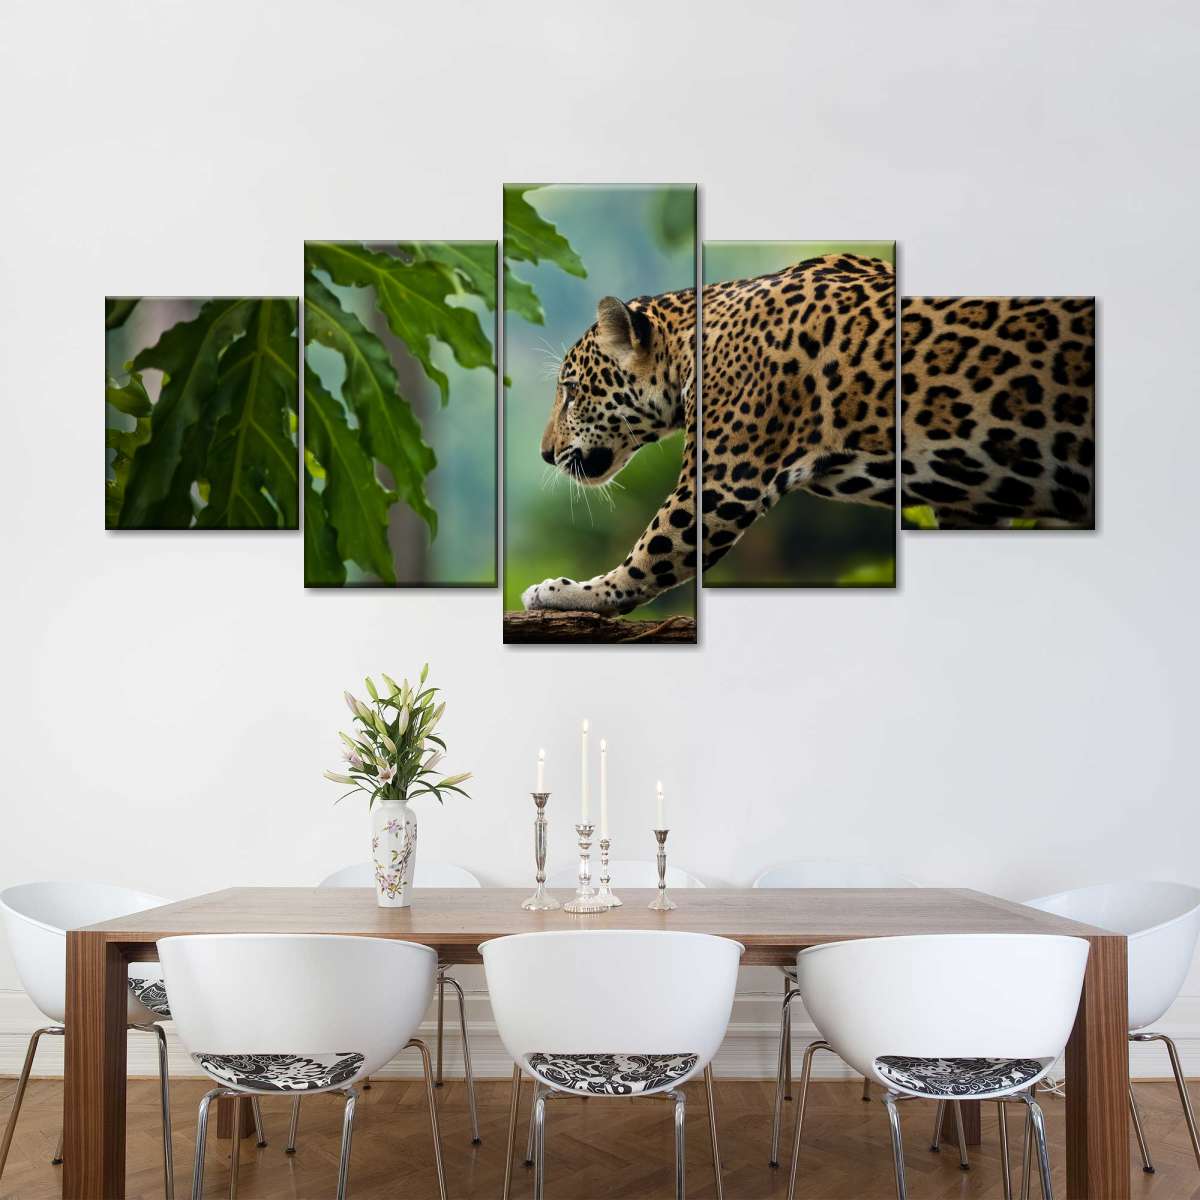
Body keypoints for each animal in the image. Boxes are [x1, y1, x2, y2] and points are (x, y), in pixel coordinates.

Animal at [522, 252, 898, 615]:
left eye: (572, 391)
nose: (545, 453)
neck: (685, 351)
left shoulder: (719, 486)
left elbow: (649, 554)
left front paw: (569, 592)